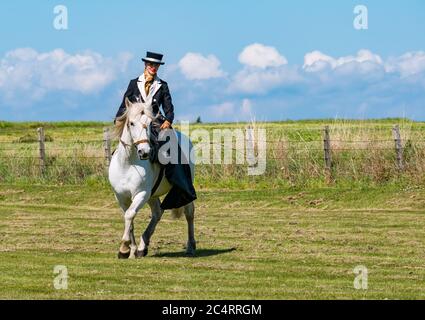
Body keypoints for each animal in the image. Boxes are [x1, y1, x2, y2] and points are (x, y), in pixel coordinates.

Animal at [108, 97, 196, 258]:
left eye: (149, 123)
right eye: (131, 123)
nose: (145, 152)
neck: (127, 164)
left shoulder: (141, 193)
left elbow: (130, 215)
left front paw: (124, 248)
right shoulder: (121, 197)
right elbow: (129, 219)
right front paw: (132, 250)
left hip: (183, 188)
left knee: (189, 213)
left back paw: (191, 246)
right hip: (152, 195)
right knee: (157, 212)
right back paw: (143, 246)